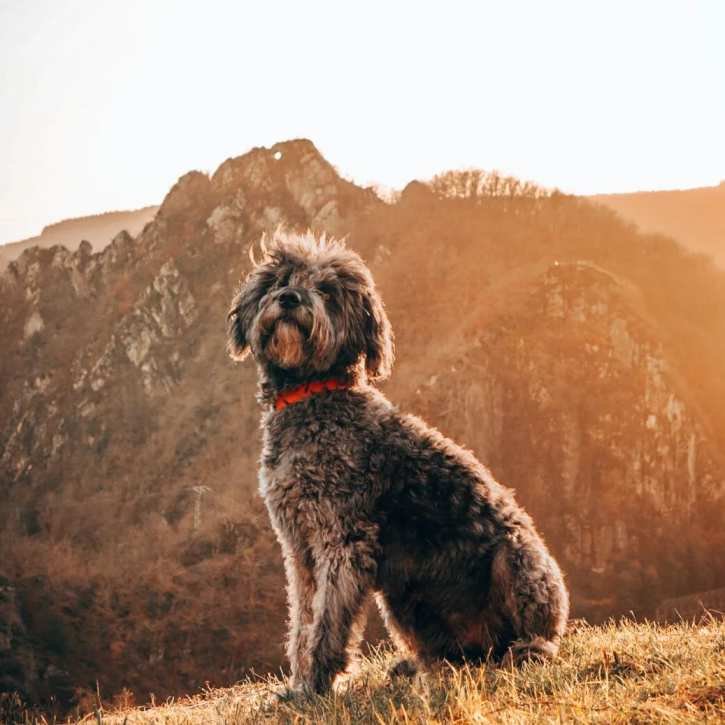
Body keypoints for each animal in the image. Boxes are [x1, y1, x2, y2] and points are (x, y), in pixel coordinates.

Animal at [229, 232, 568, 696]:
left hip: (517, 557)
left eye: (328, 291)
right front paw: (299, 683)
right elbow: (303, 619)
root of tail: (484, 646)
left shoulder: (343, 540)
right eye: (281, 278)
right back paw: (423, 666)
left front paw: (316, 683)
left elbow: (326, 621)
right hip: (404, 599)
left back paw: (527, 650)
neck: (313, 395)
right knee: (448, 655)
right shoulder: (299, 547)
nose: (290, 299)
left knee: (532, 632)